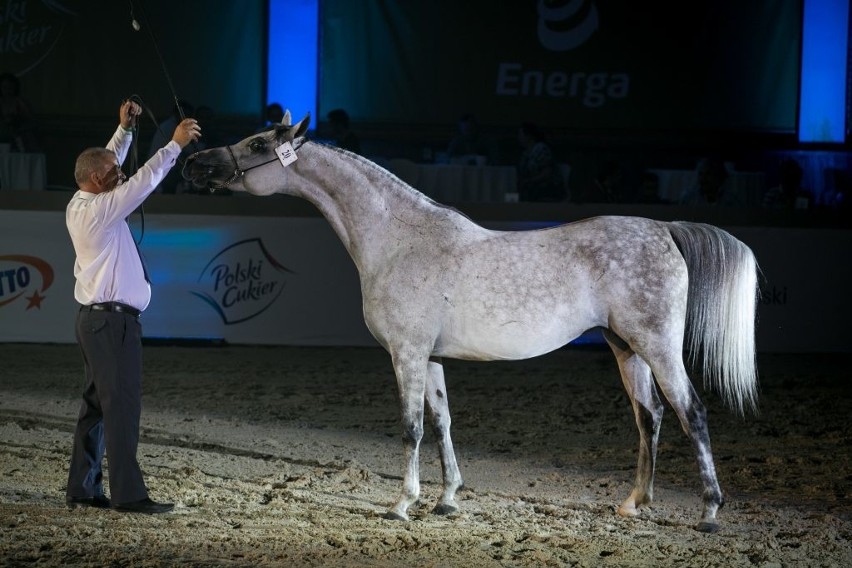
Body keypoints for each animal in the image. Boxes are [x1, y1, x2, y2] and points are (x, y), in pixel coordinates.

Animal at [183, 114, 756, 532]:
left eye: (258, 144)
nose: (194, 163)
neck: (399, 240)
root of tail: (664, 228)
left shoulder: (407, 353)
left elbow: (412, 427)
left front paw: (402, 504)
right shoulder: (431, 356)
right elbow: (442, 422)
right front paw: (448, 500)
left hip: (657, 346)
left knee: (691, 412)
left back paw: (709, 512)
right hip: (624, 346)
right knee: (650, 416)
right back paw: (635, 502)